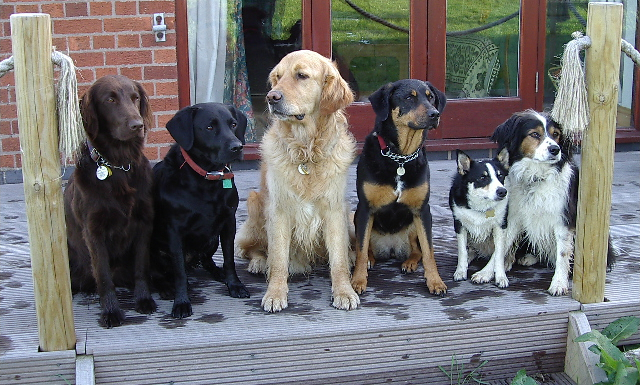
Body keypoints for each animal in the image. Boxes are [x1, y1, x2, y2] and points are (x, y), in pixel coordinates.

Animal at [64, 76, 156, 328]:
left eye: (135, 98)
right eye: (110, 100)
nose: (137, 125)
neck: (118, 165)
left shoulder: (144, 222)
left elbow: (141, 267)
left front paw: (144, 299)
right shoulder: (93, 231)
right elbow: (103, 275)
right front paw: (111, 311)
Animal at [235, 48, 358, 312]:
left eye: (301, 75)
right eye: (277, 77)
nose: (271, 97)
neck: (307, 152)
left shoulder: (334, 209)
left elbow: (338, 260)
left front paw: (344, 291)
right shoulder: (279, 210)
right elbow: (278, 259)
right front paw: (275, 293)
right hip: (254, 203)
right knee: (252, 249)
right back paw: (259, 263)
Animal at [350, 79, 450, 294]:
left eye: (431, 97)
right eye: (409, 98)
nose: (435, 114)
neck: (400, 158)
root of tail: (391, 248)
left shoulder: (423, 211)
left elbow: (429, 251)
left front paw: (435, 281)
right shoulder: (365, 209)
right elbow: (361, 250)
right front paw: (358, 280)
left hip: (412, 226)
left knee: (417, 251)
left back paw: (410, 262)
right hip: (357, 219)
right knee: (366, 248)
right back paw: (371, 259)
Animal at [450, 148, 510, 286]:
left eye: (500, 176)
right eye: (483, 177)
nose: (502, 191)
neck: (481, 206)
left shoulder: (501, 226)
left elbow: (499, 253)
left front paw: (501, 276)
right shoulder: (459, 224)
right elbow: (462, 251)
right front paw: (460, 271)